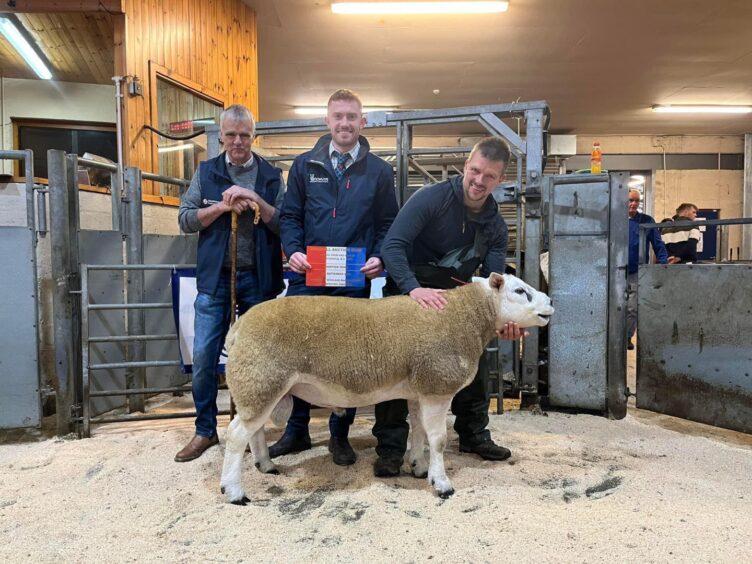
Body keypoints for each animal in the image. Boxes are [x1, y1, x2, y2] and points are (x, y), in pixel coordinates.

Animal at [217, 274, 552, 502]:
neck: (464, 315)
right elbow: (438, 440)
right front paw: (442, 484)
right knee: (236, 435)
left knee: (254, 431)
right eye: (520, 291)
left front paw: (419, 467)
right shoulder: (437, 386)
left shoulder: (420, 390)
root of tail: (238, 327)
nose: (550, 303)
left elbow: (419, 432)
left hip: (259, 386)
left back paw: (265, 465)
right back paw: (234, 491)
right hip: (260, 379)